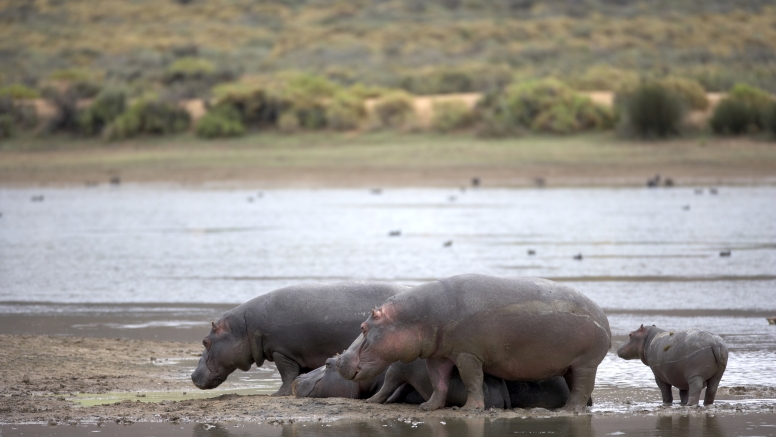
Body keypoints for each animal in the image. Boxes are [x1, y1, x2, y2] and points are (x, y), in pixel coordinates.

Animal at [192, 280, 410, 396]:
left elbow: (287, 374)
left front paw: (278, 394)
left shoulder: (282, 351)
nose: (193, 375)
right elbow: (298, 374)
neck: (244, 327)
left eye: (205, 341)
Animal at [334, 274, 612, 410]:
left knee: (582, 388)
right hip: (571, 366)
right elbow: (439, 382)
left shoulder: (467, 354)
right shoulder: (438, 356)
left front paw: (470, 409)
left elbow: (472, 380)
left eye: (363, 327)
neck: (415, 317)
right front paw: (428, 407)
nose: (338, 359)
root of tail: (604, 318)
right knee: (581, 389)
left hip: (586, 363)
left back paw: (569, 410)